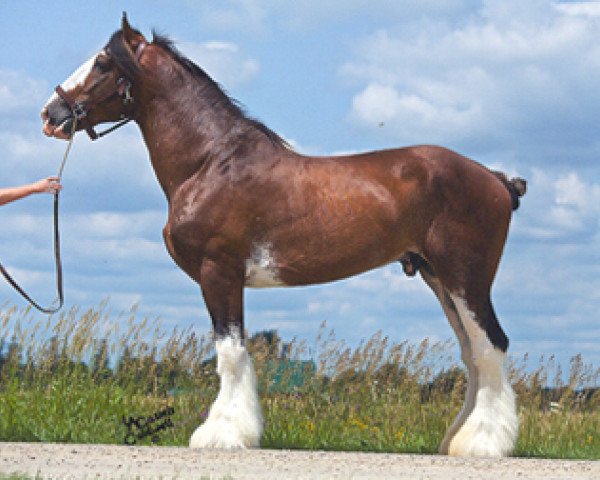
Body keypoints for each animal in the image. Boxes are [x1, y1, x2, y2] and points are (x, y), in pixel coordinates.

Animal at [41, 15, 524, 458]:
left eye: (103, 62)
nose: (50, 114)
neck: (210, 162)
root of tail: (497, 179)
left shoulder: (219, 272)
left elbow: (230, 353)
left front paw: (222, 435)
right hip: (437, 276)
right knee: (473, 353)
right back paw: (458, 441)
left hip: (465, 279)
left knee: (491, 348)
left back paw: (483, 444)